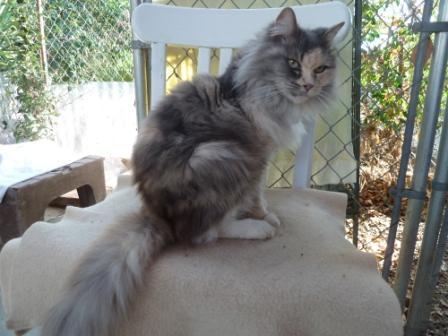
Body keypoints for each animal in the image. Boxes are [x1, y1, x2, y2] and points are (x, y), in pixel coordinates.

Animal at [42, 7, 344, 336]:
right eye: (293, 63)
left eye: (320, 69)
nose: (308, 85)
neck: (252, 88)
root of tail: (159, 216)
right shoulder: (259, 156)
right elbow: (257, 196)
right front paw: (266, 216)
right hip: (225, 155)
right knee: (205, 232)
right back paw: (257, 229)